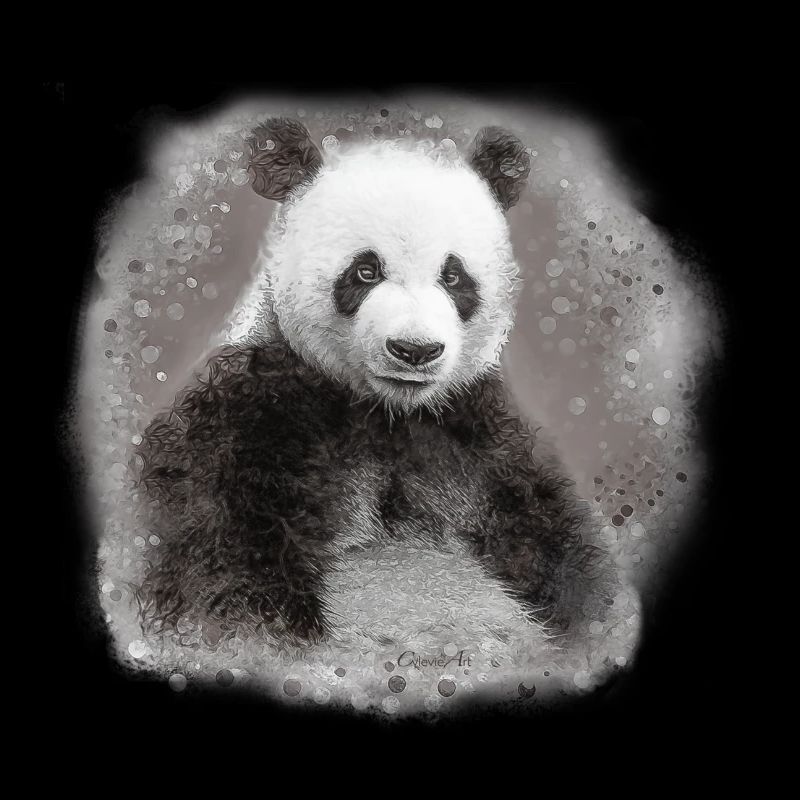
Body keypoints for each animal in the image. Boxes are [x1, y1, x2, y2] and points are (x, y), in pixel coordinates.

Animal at [136, 117, 613, 649]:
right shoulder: (250, 416)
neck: (387, 412)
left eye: (454, 276)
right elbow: (218, 567)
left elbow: (564, 550)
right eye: (365, 270)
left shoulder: (481, 436)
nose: (414, 349)